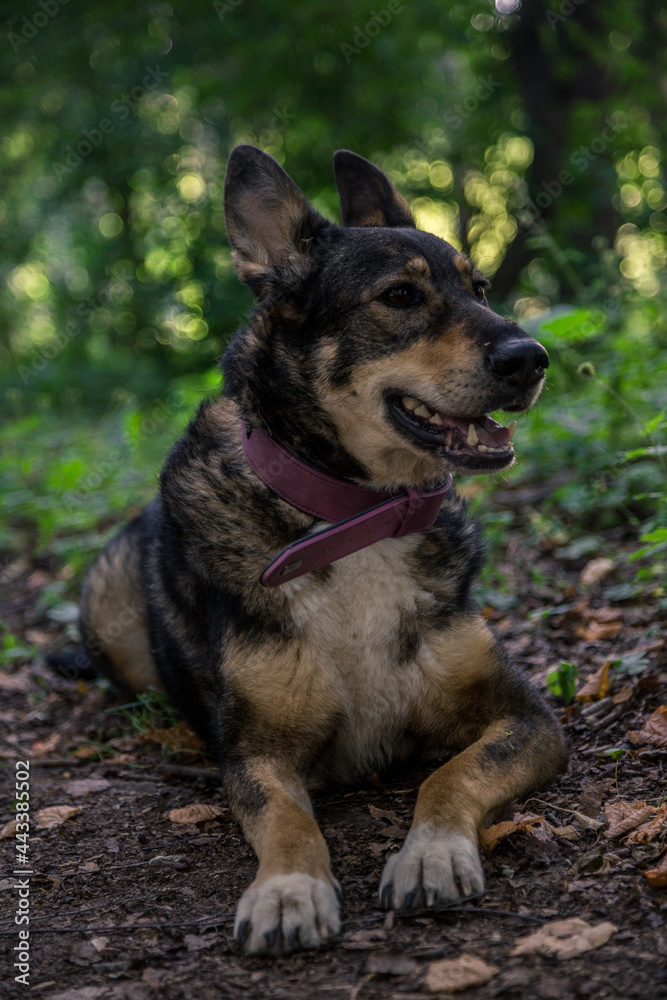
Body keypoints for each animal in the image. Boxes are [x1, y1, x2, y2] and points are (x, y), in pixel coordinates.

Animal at [79, 145, 568, 956]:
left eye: (479, 288)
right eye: (399, 295)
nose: (531, 358)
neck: (358, 516)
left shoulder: (527, 719)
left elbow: (449, 777)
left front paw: (431, 852)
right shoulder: (256, 753)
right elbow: (287, 821)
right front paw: (286, 890)